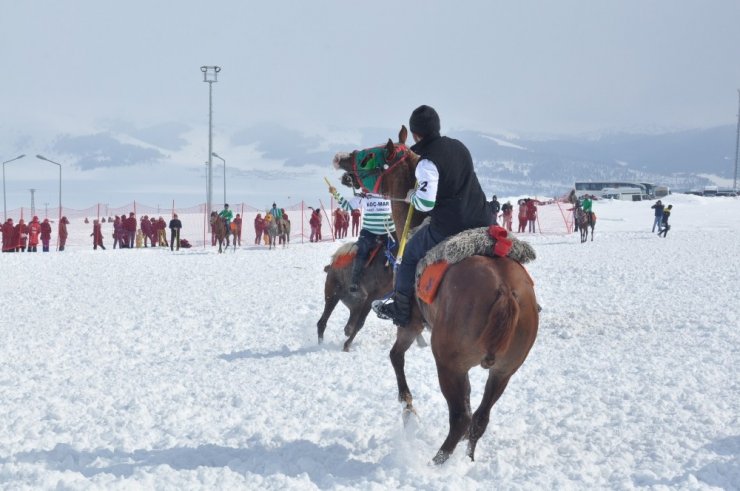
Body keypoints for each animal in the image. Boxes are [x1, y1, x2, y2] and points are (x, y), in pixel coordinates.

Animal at [334, 126, 536, 466]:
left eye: (369, 155)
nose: (340, 157)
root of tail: (506, 292)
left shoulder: (412, 323)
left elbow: (395, 356)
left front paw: (408, 408)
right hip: (504, 370)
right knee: (479, 418)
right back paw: (465, 458)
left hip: (449, 362)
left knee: (461, 417)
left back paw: (435, 462)